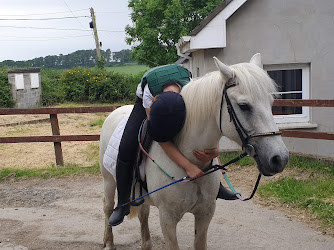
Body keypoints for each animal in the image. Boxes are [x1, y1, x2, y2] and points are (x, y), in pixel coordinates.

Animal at [99, 54, 290, 250]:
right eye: (244, 106)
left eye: (271, 103)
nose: (279, 158)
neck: (190, 162)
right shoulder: (167, 219)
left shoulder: (206, 213)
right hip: (108, 180)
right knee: (108, 206)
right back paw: (109, 240)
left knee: (143, 214)